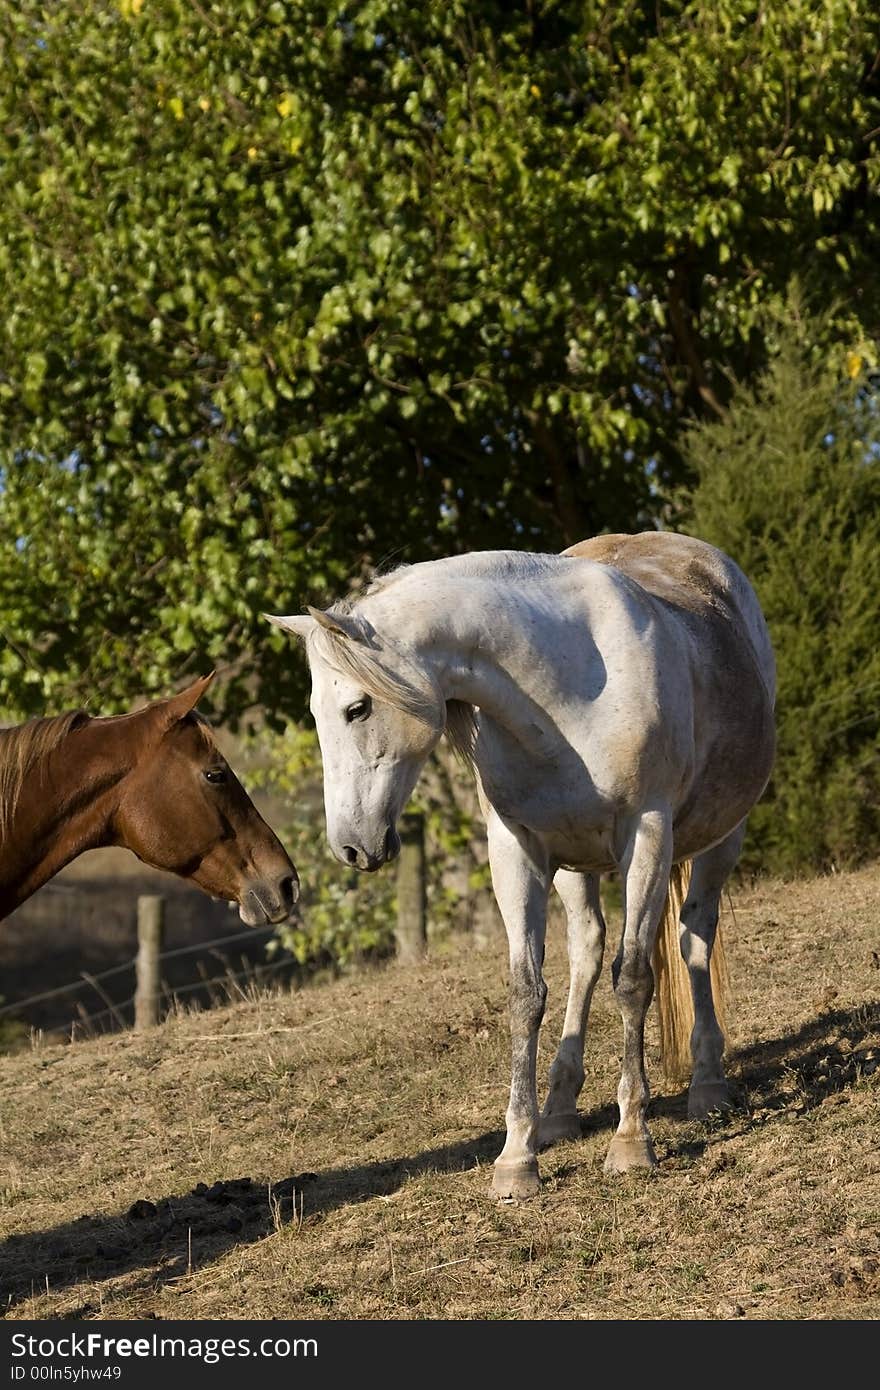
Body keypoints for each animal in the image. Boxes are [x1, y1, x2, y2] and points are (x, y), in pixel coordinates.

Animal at [268, 530, 772, 1195]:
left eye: (357, 709)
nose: (350, 846)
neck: (568, 687)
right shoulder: (515, 849)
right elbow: (526, 994)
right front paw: (516, 1157)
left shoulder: (647, 834)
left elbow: (635, 978)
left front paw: (631, 1139)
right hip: (576, 866)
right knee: (587, 951)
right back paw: (559, 1109)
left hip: (720, 839)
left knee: (693, 939)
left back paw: (709, 1084)